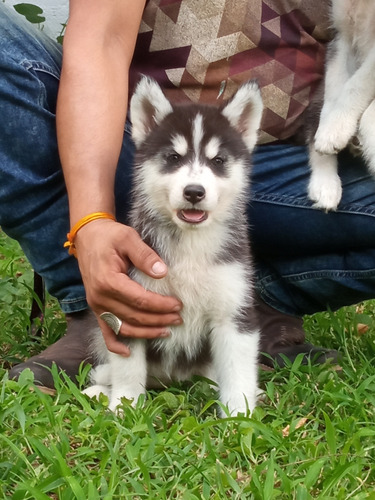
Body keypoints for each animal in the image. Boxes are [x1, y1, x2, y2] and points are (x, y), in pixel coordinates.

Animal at [83, 76, 262, 416]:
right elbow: (129, 370)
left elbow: (238, 371)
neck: (190, 242)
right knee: (107, 370)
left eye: (218, 161)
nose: (194, 192)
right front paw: (124, 409)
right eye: (174, 158)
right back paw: (98, 391)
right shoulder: (131, 309)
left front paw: (240, 416)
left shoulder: (234, 311)